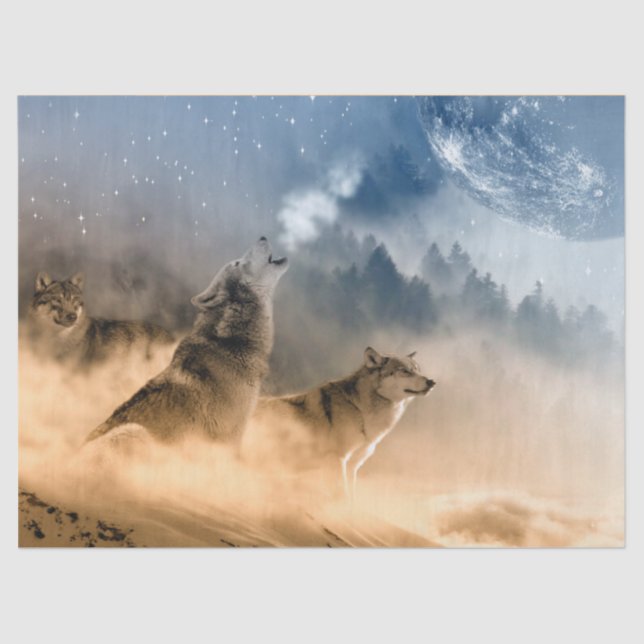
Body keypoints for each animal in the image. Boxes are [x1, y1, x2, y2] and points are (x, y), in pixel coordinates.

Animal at [246, 347, 436, 498]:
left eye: (418, 370)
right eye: (404, 371)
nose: (431, 381)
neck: (360, 410)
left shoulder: (352, 467)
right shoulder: (337, 460)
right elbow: (341, 498)